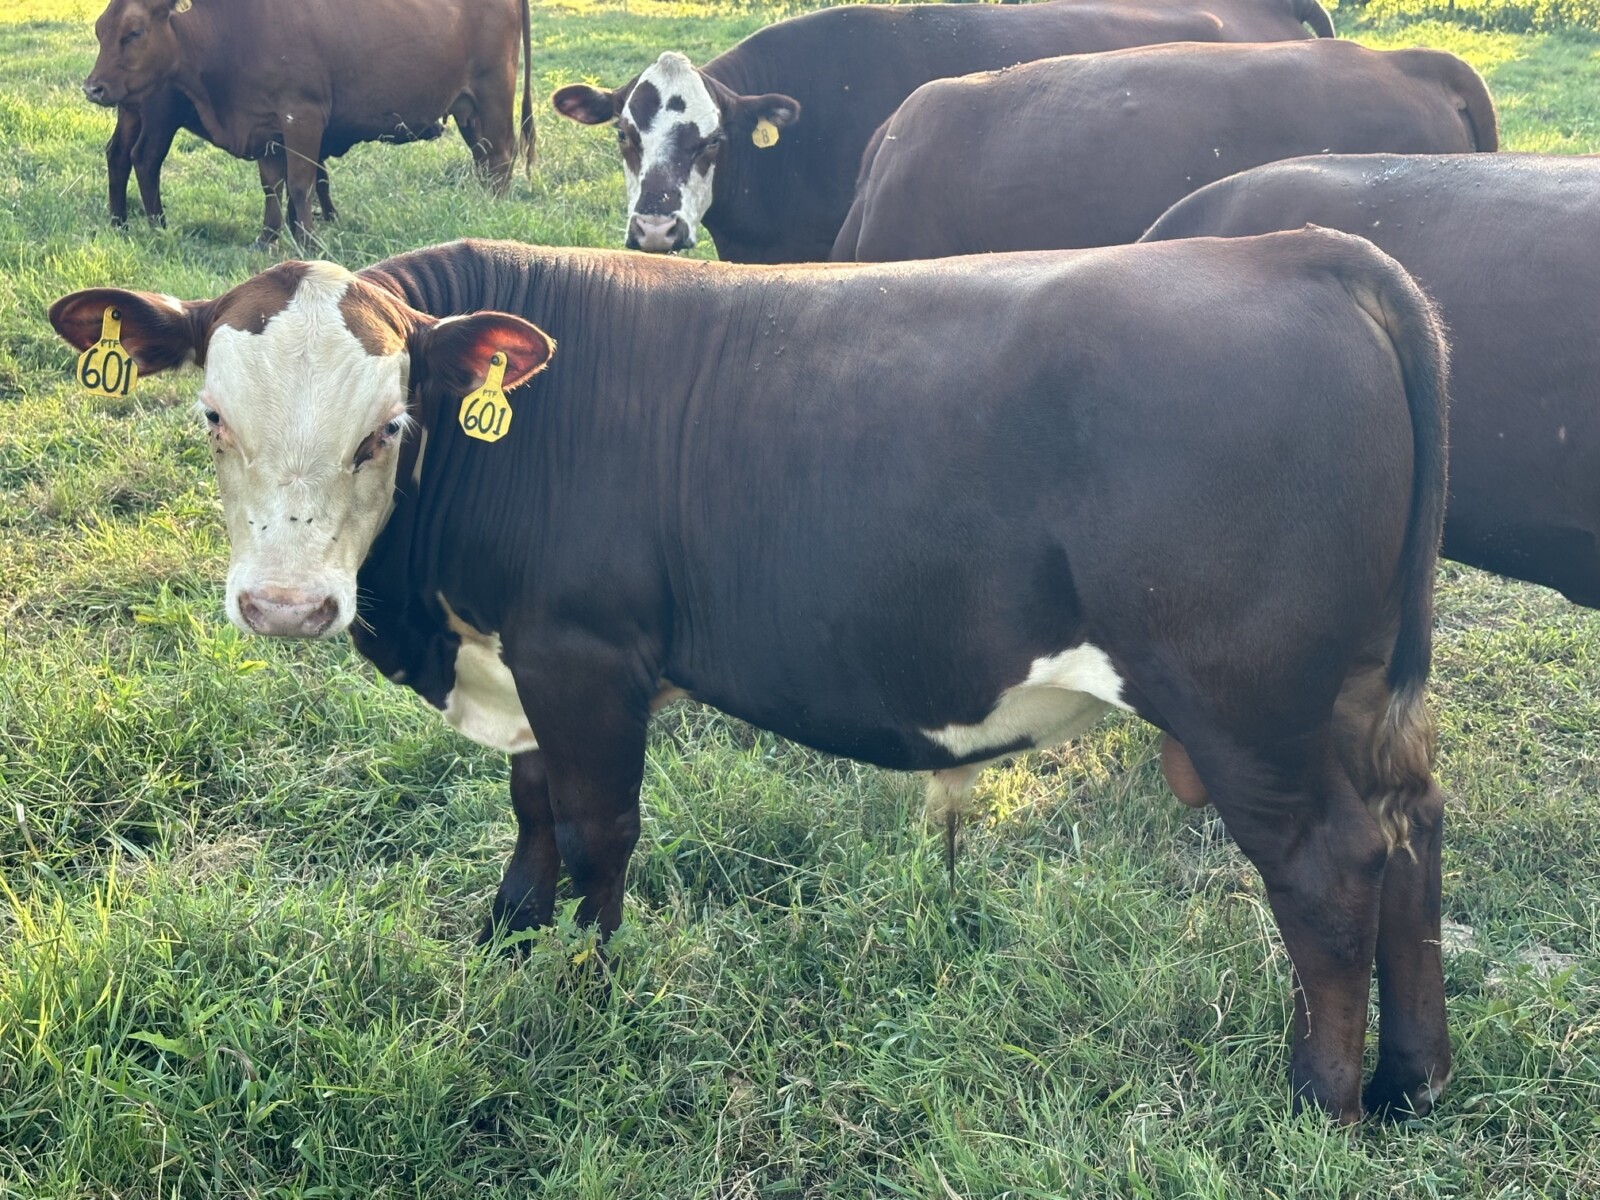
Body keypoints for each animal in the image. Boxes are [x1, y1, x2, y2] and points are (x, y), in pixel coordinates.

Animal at [51, 229, 1450, 1121]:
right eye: (212, 418)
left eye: (386, 429)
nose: (285, 606)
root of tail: (1306, 251)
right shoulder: (523, 663)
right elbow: (531, 805)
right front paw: (508, 932)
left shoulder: (581, 653)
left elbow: (598, 824)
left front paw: (585, 987)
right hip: (1356, 693)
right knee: (1411, 831)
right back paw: (1413, 1079)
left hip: (1246, 702)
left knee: (1330, 866)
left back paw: (1318, 1102)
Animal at [84, 0, 533, 245]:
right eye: (100, 29)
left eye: (134, 32)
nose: (92, 88)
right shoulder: (266, 127)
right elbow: (273, 185)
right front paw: (268, 238)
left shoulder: (301, 117)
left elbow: (301, 182)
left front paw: (309, 239)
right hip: (468, 108)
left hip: (491, 94)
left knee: (499, 156)